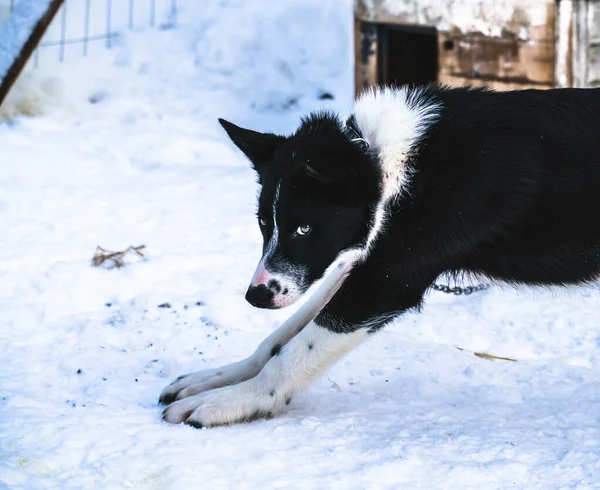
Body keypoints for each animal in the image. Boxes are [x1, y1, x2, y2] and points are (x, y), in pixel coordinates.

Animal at [159, 85, 600, 428]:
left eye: (304, 229)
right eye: (264, 224)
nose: (255, 296)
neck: (388, 163)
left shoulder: (385, 282)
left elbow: (297, 352)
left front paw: (233, 401)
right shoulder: (366, 258)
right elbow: (282, 337)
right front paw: (221, 379)